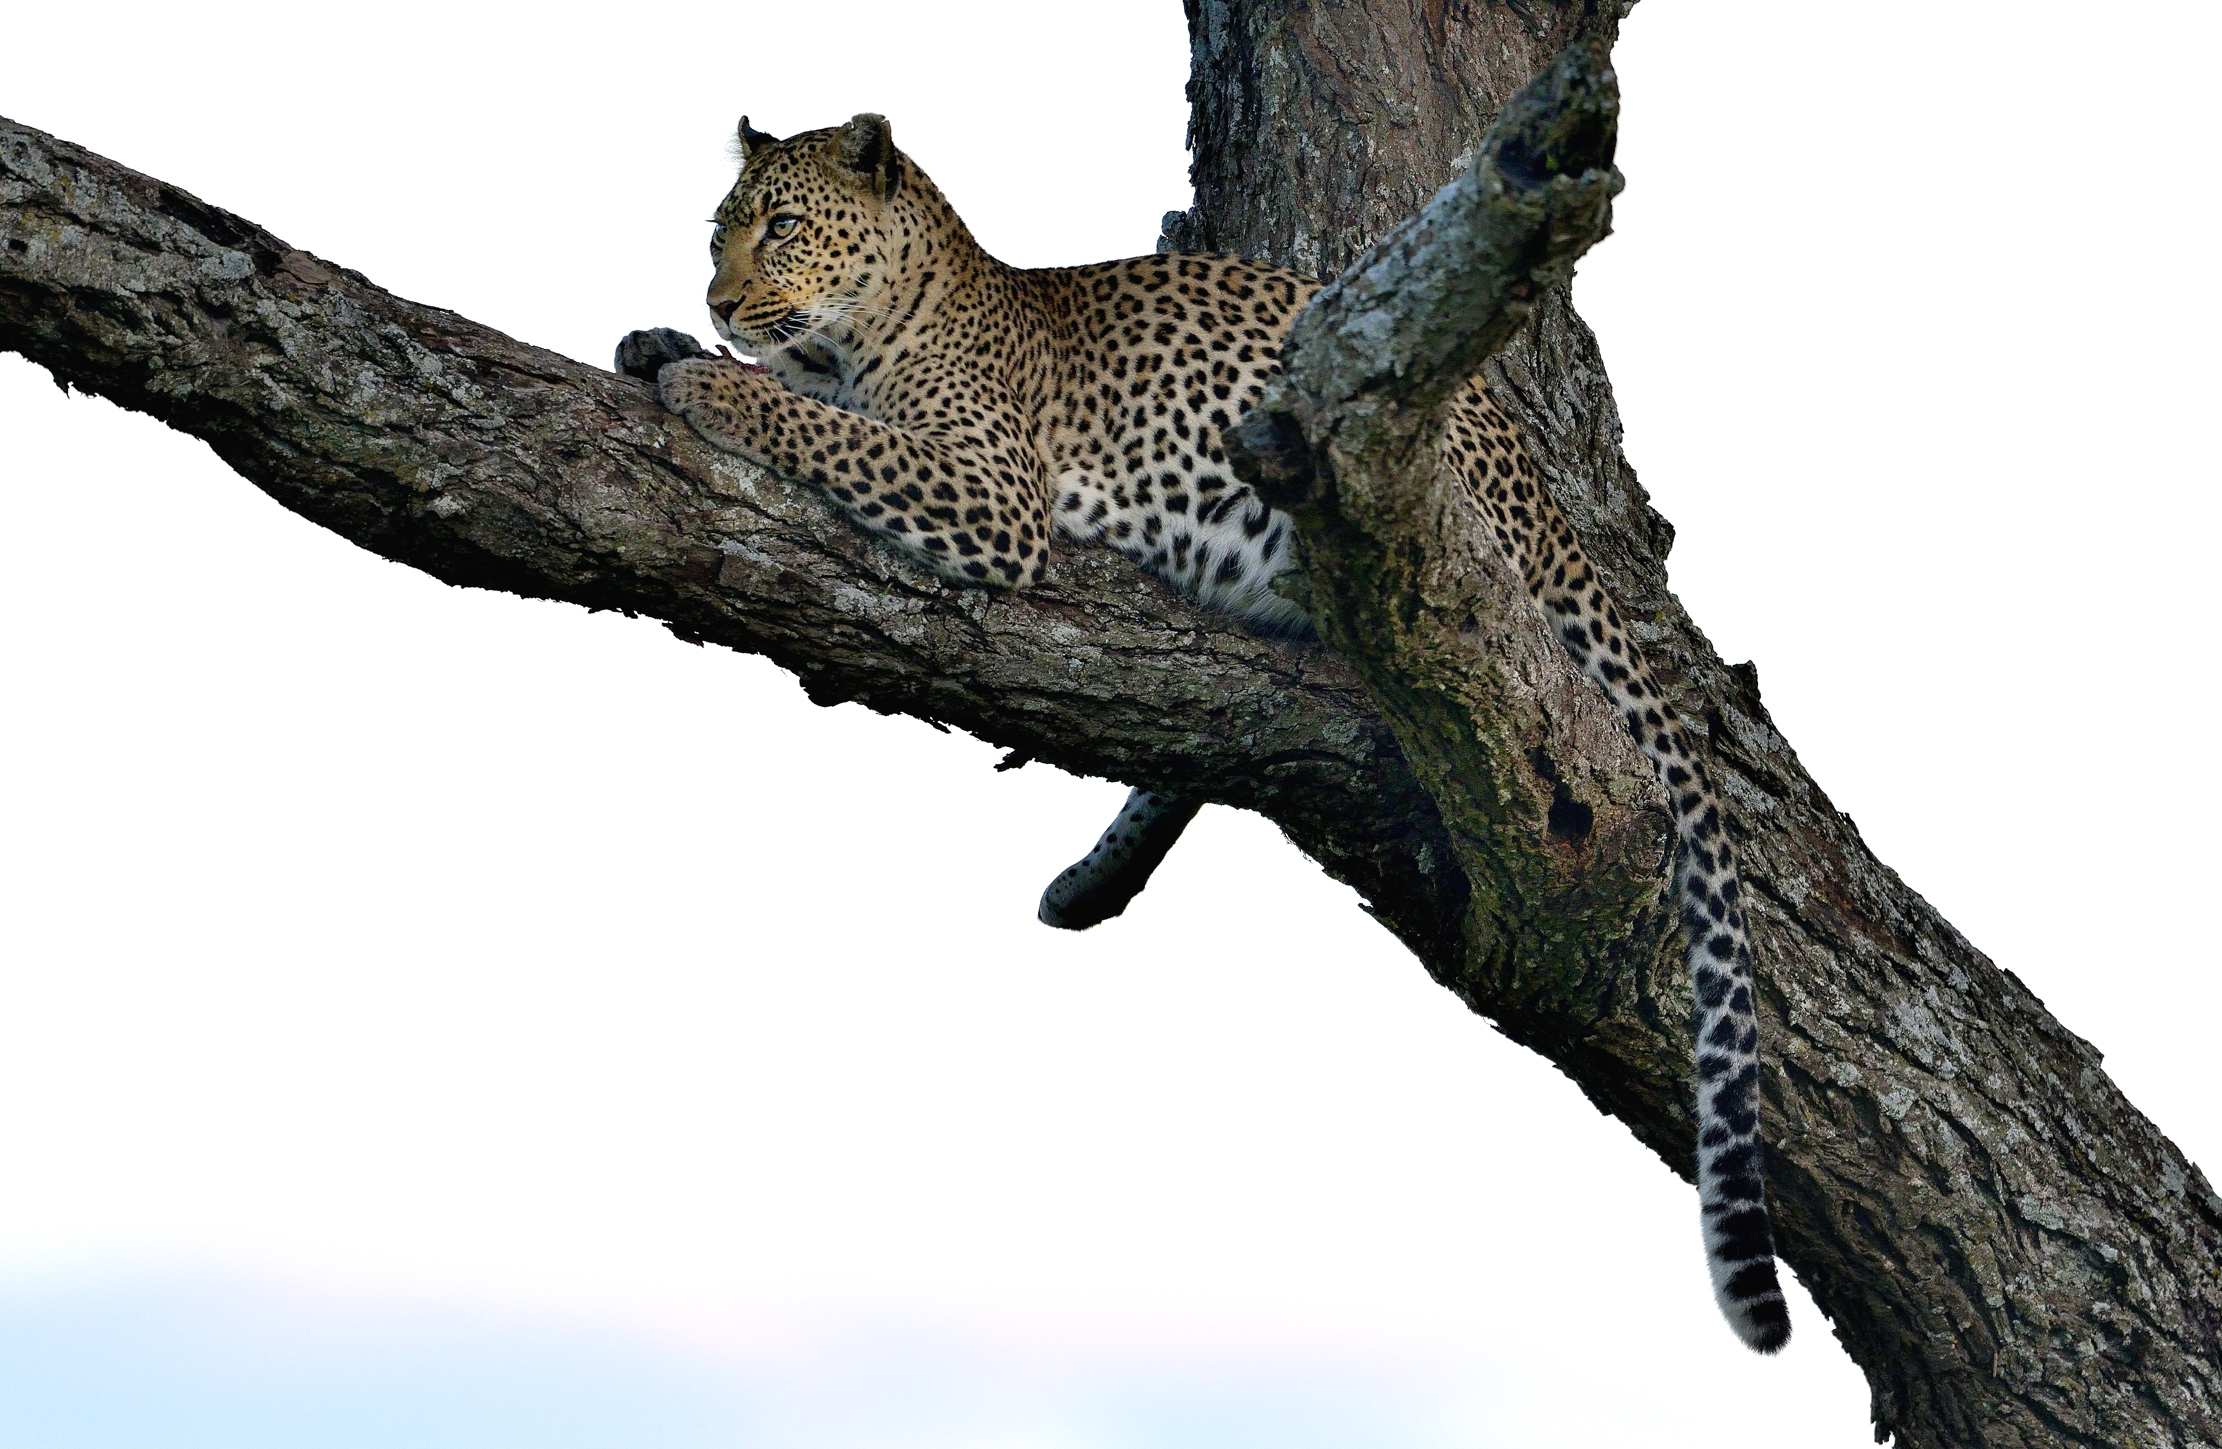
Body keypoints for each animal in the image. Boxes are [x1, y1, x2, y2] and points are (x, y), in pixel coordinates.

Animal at [633, 112, 1790, 1355]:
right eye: (719, 229)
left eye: (780, 227)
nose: (715, 301)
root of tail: (1544, 496)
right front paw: (655, 340)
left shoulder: (988, 489)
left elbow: (818, 424)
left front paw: (705, 379)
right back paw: (1090, 879)